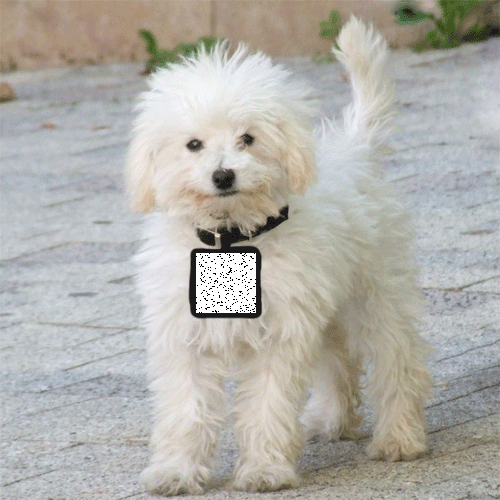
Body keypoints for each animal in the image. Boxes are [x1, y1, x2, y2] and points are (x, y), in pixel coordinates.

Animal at [126, 17, 432, 495]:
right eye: (193, 144)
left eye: (248, 139)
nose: (223, 175)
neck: (232, 237)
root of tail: (356, 149)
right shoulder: (184, 338)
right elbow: (186, 410)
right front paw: (176, 471)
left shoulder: (279, 335)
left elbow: (267, 406)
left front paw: (264, 471)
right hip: (325, 305)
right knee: (338, 361)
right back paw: (332, 420)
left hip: (376, 296)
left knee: (396, 362)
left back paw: (399, 438)